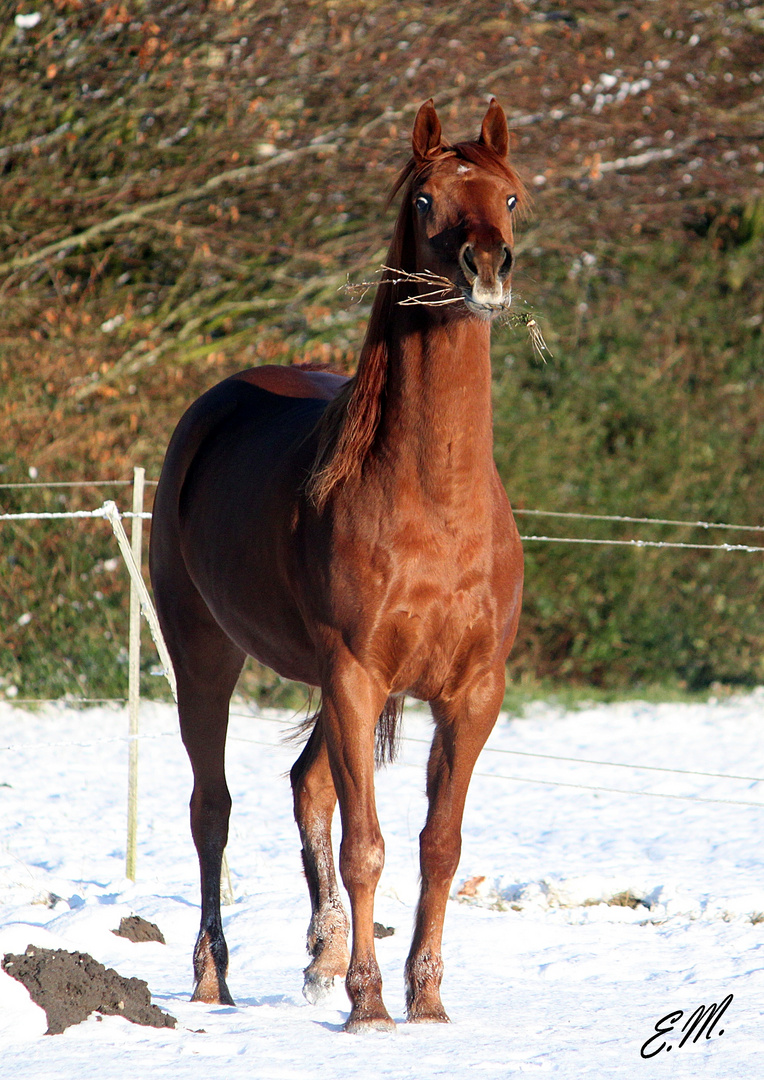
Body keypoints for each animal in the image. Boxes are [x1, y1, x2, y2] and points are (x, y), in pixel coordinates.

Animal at [152, 99, 529, 1028]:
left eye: (510, 197)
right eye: (427, 200)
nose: (486, 269)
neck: (434, 500)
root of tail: (216, 405)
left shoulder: (472, 693)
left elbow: (439, 845)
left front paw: (426, 1001)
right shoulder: (355, 674)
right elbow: (368, 846)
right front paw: (369, 1006)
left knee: (306, 786)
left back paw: (321, 952)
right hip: (207, 657)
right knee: (211, 809)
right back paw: (213, 979)